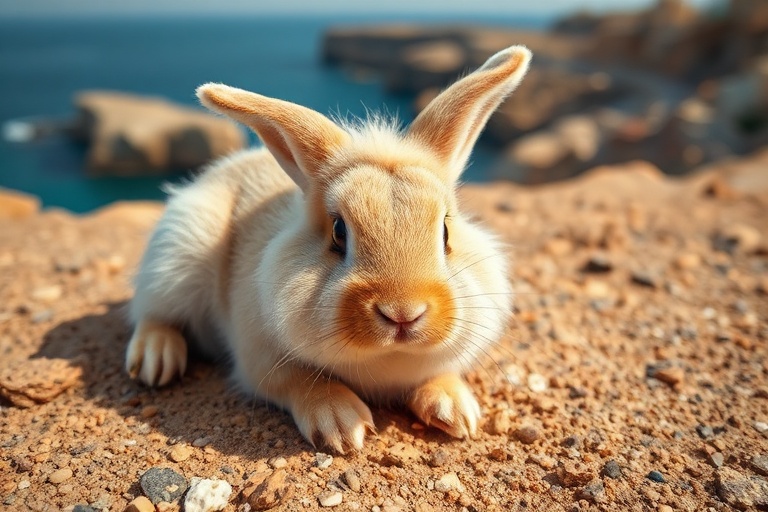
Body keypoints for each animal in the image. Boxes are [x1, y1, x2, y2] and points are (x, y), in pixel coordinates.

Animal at [125, 45, 531, 453]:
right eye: (339, 232)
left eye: (445, 231)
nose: (403, 313)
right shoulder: (260, 361)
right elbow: (303, 380)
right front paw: (341, 425)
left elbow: (442, 373)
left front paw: (457, 411)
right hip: (176, 256)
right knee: (153, 314)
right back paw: (155, 360)